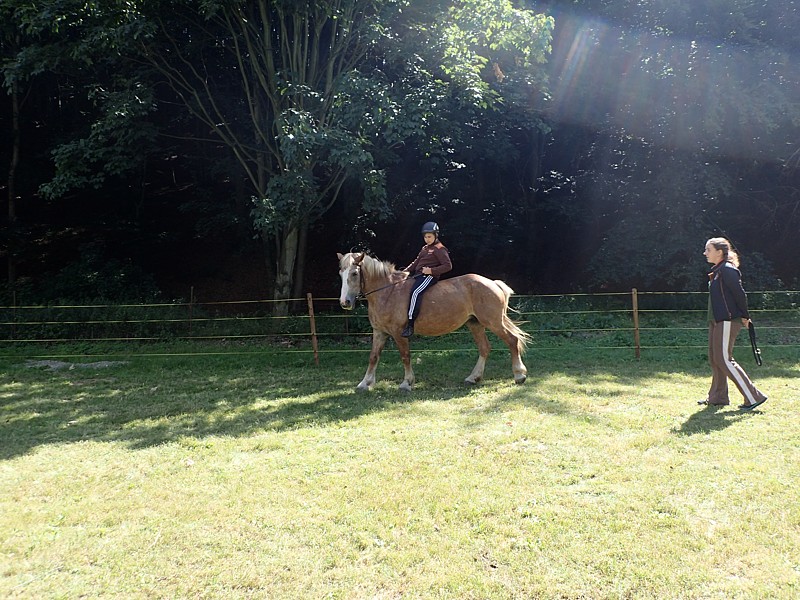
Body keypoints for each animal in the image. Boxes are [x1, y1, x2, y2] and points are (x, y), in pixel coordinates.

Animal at [337, 252, 530, 391]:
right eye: (341, 273)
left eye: (354, 273)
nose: (345, 302)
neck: (387, 291)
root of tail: (493, 283)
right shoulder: (379, 332)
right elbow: (373, 357)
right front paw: (365, 383)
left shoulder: (399, 333)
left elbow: (405, 356)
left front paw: (407, 383)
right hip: (475, 324)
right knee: (484, 348)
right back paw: (473, 378)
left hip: (493, 322)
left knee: (512, 340)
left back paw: (519, 375)